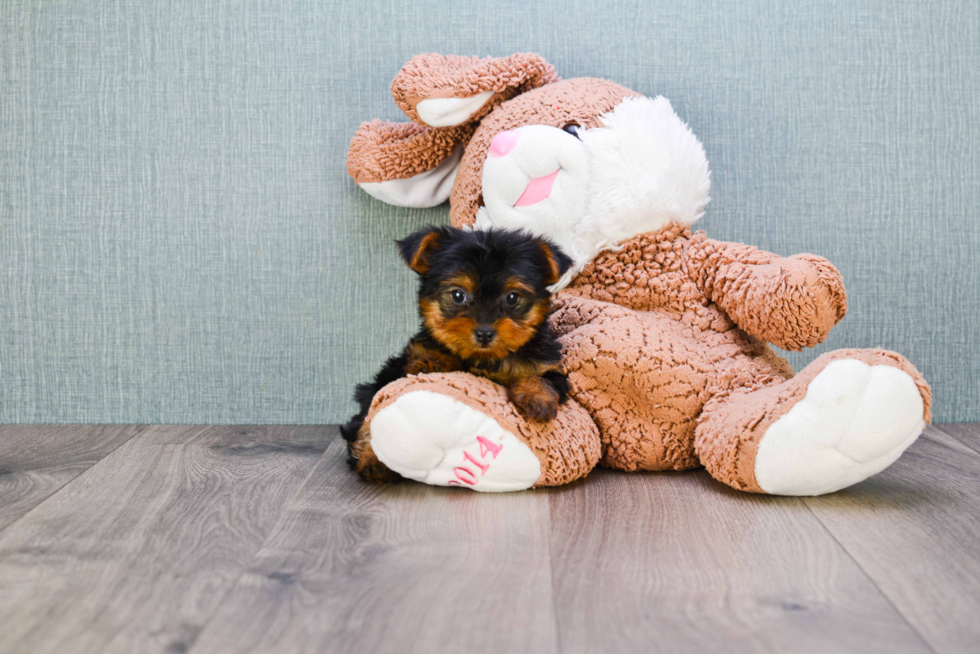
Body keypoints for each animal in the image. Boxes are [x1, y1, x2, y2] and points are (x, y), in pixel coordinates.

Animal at [344, 228, 576, 484]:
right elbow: (424, 357)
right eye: (457, 295)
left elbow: (542, 378)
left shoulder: (549, 365)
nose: (484, 332)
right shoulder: (406, 361)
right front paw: (433, 361)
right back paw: (374, 462)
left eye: (512, 298)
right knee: (367, 419)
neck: (484, 358)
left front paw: (537, 398)